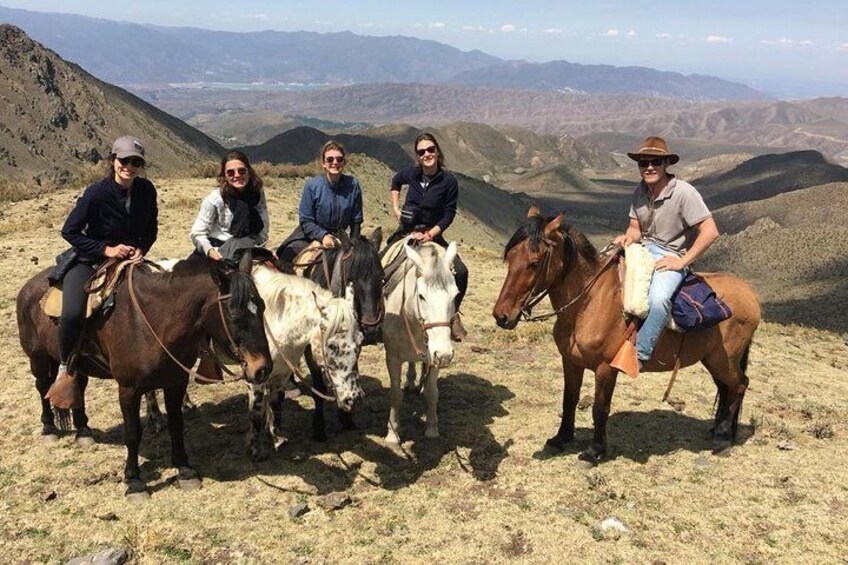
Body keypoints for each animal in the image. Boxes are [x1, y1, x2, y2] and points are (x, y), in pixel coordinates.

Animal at [15, 253, 272, 496]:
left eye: (261, 306)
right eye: (233, 314)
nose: (263, 368)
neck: (154, 322)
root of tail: (28, 287)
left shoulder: (176, 382)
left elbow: (177, 424)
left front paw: (185, 470)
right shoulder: (128, 389)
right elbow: (132, 433)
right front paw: (134, 481)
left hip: (79, 365)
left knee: (78, 387)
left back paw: (83, 432)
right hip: (38, 358)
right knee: (42, 387)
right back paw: (49, 428)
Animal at [278, 227, 384, 438]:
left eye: (381, 278)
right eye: (351, 278)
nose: (371, 329)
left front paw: (347, 418)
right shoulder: (311, 351)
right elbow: (318, 386)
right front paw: (319, 427)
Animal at [490, 208, 760, 462]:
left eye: (534, 262)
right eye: (510, 257)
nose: (502, 316)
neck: (589, 302)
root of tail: (751, 296)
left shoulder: (605, 368)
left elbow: (600, 409)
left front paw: (594, 451)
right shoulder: (571, 362)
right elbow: (569, 399)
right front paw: (561, 438)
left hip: (724, 361)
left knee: (739, 385)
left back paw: (723, 440)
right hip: (714, 361)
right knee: (727, 388)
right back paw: (720, 430)